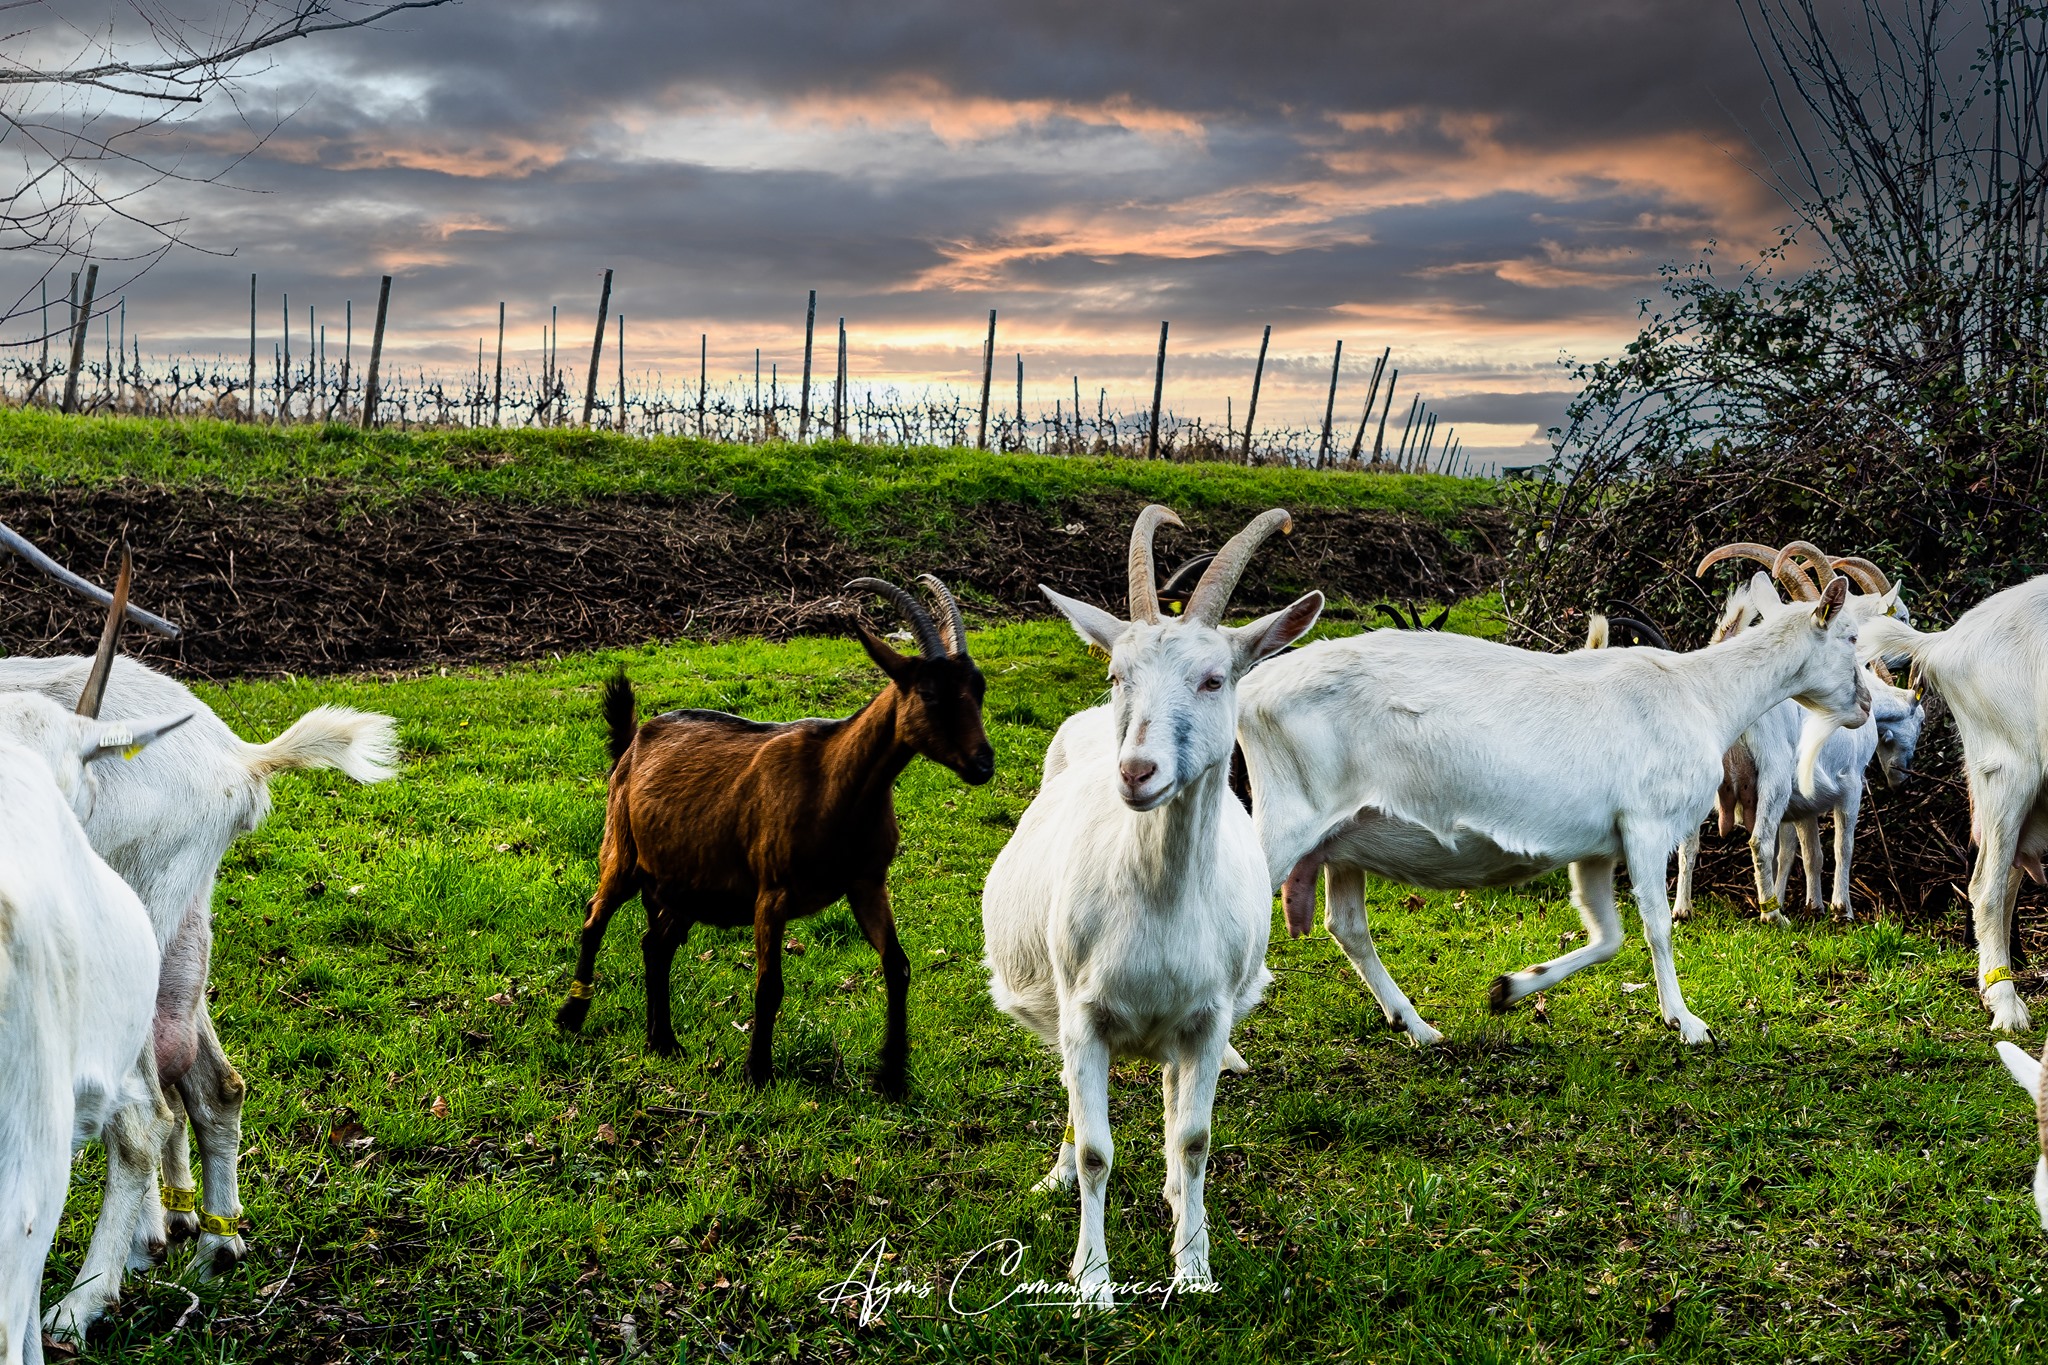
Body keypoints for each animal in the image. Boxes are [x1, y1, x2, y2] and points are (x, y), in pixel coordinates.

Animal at [548, 577, 987, 1096]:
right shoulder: (771, 891)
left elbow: (897, 966)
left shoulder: (866, 883)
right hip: (622, 851)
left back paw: (663, 1042)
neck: (836, 783)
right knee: (595, 917)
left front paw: (892, 1075)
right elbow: (768, 984)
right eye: (930, 693)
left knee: (656, 946)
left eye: (978, 689)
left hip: (687, 881)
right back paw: (572, 1015)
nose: (983, 764)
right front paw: (757, 1071)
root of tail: (633, 740)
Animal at [978, 507, 1318, 1309]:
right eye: (1116, 675)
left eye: (1214, 678)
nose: (1137, 772)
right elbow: (1097, 1148)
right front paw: (1092, 1280)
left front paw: (1192, 1266)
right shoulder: (1084, 1014)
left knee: (1170, 1100)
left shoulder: (1209, 1018)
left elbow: (1194, 1140)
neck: (1158, 898)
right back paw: (1058, 1175)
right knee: (1077, 1099)